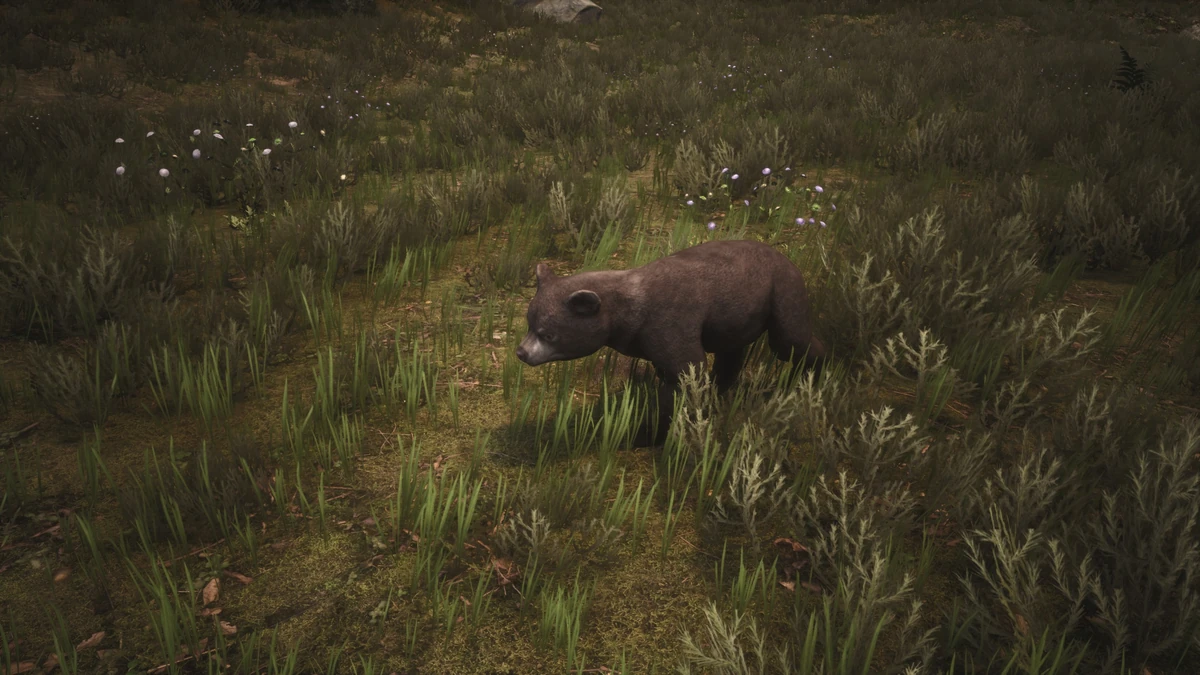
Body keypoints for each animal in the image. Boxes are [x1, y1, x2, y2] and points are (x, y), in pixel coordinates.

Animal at [515, 239, 827, 446]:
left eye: (548, 333)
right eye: (530, 323)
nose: (521, 352)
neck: (627, 313)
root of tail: (785, 257)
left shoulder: (669, 322)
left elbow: (686, 372)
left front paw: (650, 431)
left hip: (781, 292)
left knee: (790, 341)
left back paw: (812, 373)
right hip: (735, 315)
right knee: (730, 354)